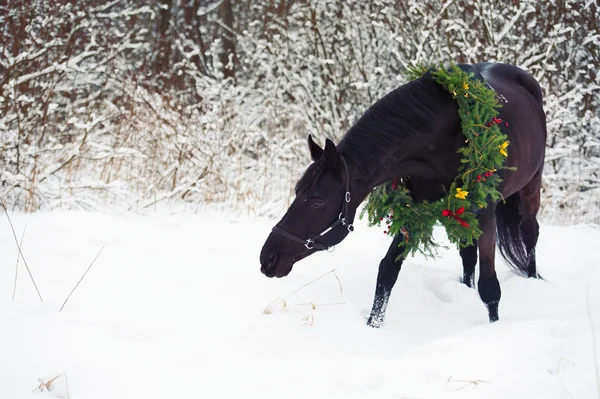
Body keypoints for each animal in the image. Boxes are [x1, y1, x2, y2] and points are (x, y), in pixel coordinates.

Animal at [258, 61, 544, 324]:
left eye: (318, 201)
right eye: (297, 192)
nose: (268, 258)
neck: (447, 138)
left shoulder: (486, 215)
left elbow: (490, 289)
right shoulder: (414, 210)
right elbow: (387, 272)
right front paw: (373, 326)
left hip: (531, 185)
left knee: (529, 233)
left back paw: (533, 279)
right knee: (467, 254)